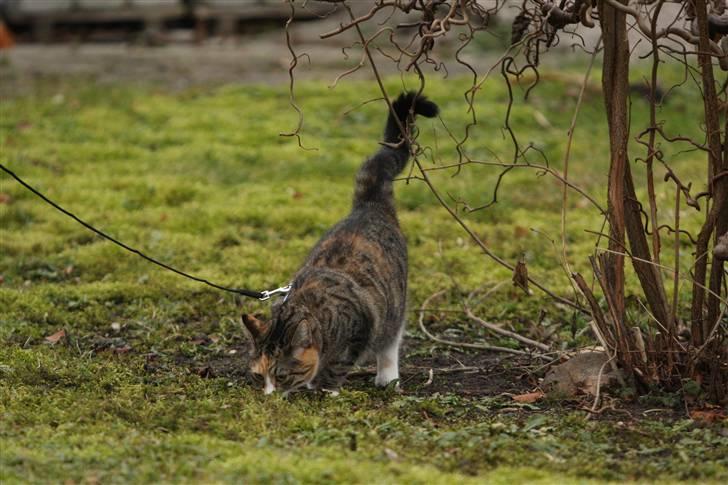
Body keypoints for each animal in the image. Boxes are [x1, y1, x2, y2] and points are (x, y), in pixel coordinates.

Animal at [245, 91, 438, 394]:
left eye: (281, 376)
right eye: (257, 376)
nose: (268, 395)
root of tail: (369, 203)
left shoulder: (360, 327)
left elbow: (338, 363)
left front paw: (325, 389)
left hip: (394, 304)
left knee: (390, 341)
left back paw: (387, 376)